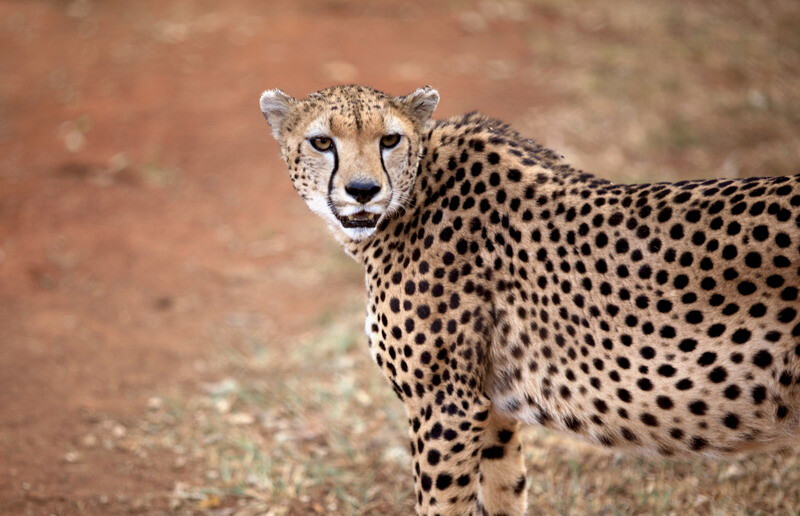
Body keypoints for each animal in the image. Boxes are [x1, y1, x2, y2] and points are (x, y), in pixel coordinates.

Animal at [260, 85, 800, 516]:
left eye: (389, 140)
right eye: (322, 141)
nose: (363, 190)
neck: (413, 194)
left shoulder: (446, 404)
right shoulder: (492, 409)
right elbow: (503, 493)